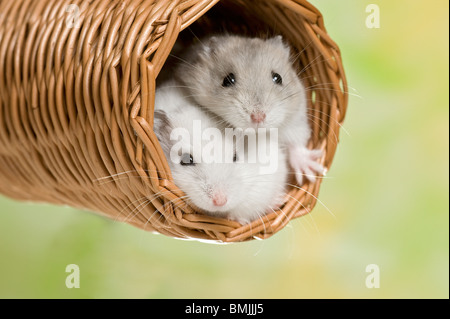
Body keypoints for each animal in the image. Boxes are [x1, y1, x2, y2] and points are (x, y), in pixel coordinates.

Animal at [174, 34, 326, 185]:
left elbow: (295, 143)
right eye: (227, 80)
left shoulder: (295, 119)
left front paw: (312, 174)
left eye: (278, 78)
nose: (258, 117)